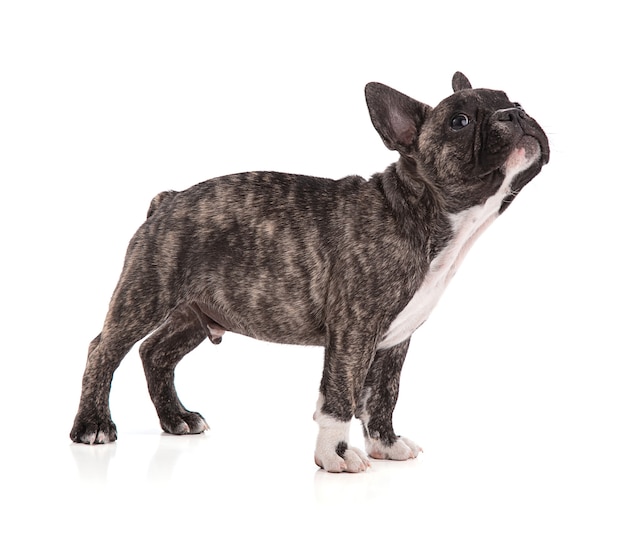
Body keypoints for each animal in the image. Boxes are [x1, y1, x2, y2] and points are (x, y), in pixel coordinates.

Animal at [69, 71, 544, 474]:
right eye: (460, 121)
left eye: (513, 99)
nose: (515, 113)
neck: (423, 213)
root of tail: (167, 199)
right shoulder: (353, 333)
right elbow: (341, 395)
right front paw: (335, 455)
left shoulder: (395, 341)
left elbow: (383, 395)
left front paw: (386, 445)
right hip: (146, 293)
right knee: (104, 350)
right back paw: (93, 425)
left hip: (196, 313)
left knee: (156, 353)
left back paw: (176, 418)